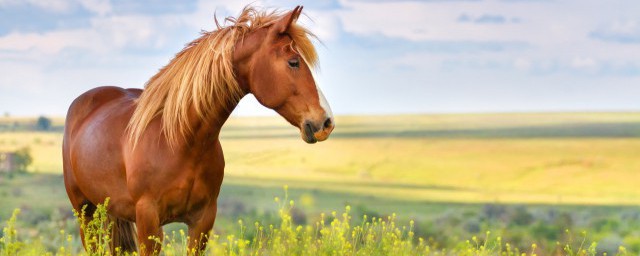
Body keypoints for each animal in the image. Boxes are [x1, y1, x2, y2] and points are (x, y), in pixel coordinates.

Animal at [62, 5, 336, 254]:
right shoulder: (149, 222)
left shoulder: (202, 222)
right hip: (85, 213)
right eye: (293, 62)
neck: (179, 141)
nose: (326, 122)